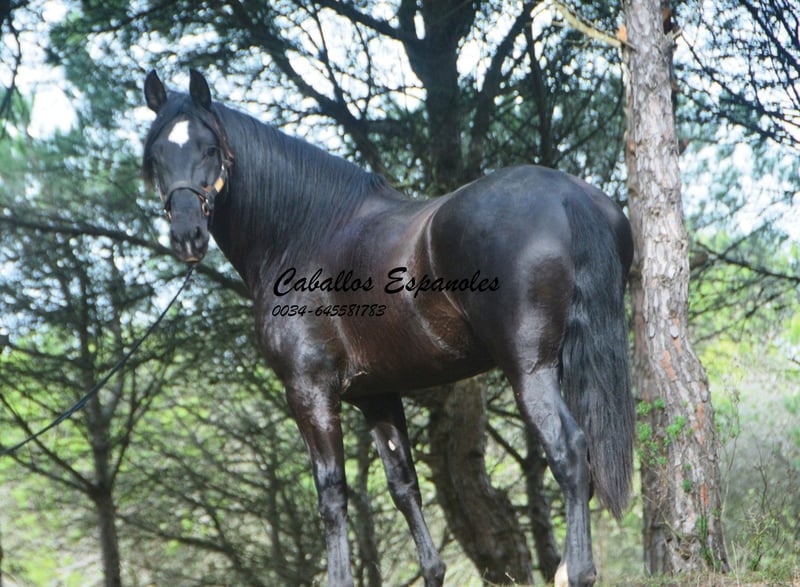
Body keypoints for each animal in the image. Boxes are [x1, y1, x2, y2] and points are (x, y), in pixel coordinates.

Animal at [142, 70, 635, 587]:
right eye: (156, 156)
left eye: (209, 148)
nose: (187, 236)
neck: (303, 233)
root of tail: (566, 194)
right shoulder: (375, 395)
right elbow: (404, 485)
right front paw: (432, 570)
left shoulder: (310, 389)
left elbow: (331, 492)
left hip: (530, 368)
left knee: (570, 452)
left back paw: (577, 571)